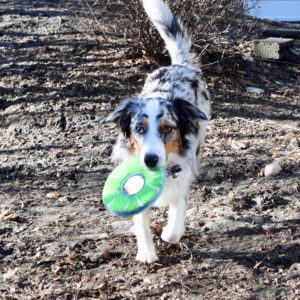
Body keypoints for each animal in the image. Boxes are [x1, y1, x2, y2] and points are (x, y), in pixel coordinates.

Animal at [104, 0, 210, 262]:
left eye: (168, 128)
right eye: (139, 129)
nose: (150, 160)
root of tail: (179, 65)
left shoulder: (184, 172)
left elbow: (176, 216)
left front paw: (168, 233)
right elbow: (140, 219)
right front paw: (146, 253)